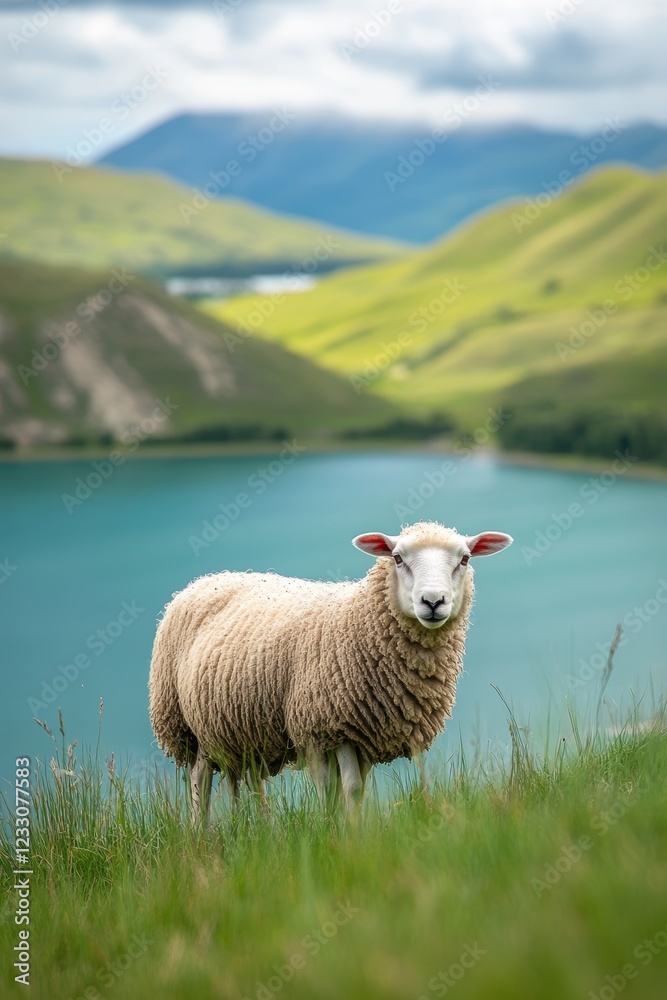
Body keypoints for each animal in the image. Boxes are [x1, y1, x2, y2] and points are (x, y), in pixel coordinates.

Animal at [148, 520, 513, 822]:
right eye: (397, 558)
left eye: (465, 559)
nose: (433, 602)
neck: (358, 621)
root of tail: (209, 578)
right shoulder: (322, 726)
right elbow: (336, 789)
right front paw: (334, 837)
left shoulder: (359, 732)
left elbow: (353, 790)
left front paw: (352, 834)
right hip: (186, 726)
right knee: (200, 781)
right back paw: (200, 837)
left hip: (243, 728)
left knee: (250, 782)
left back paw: (260, 830)